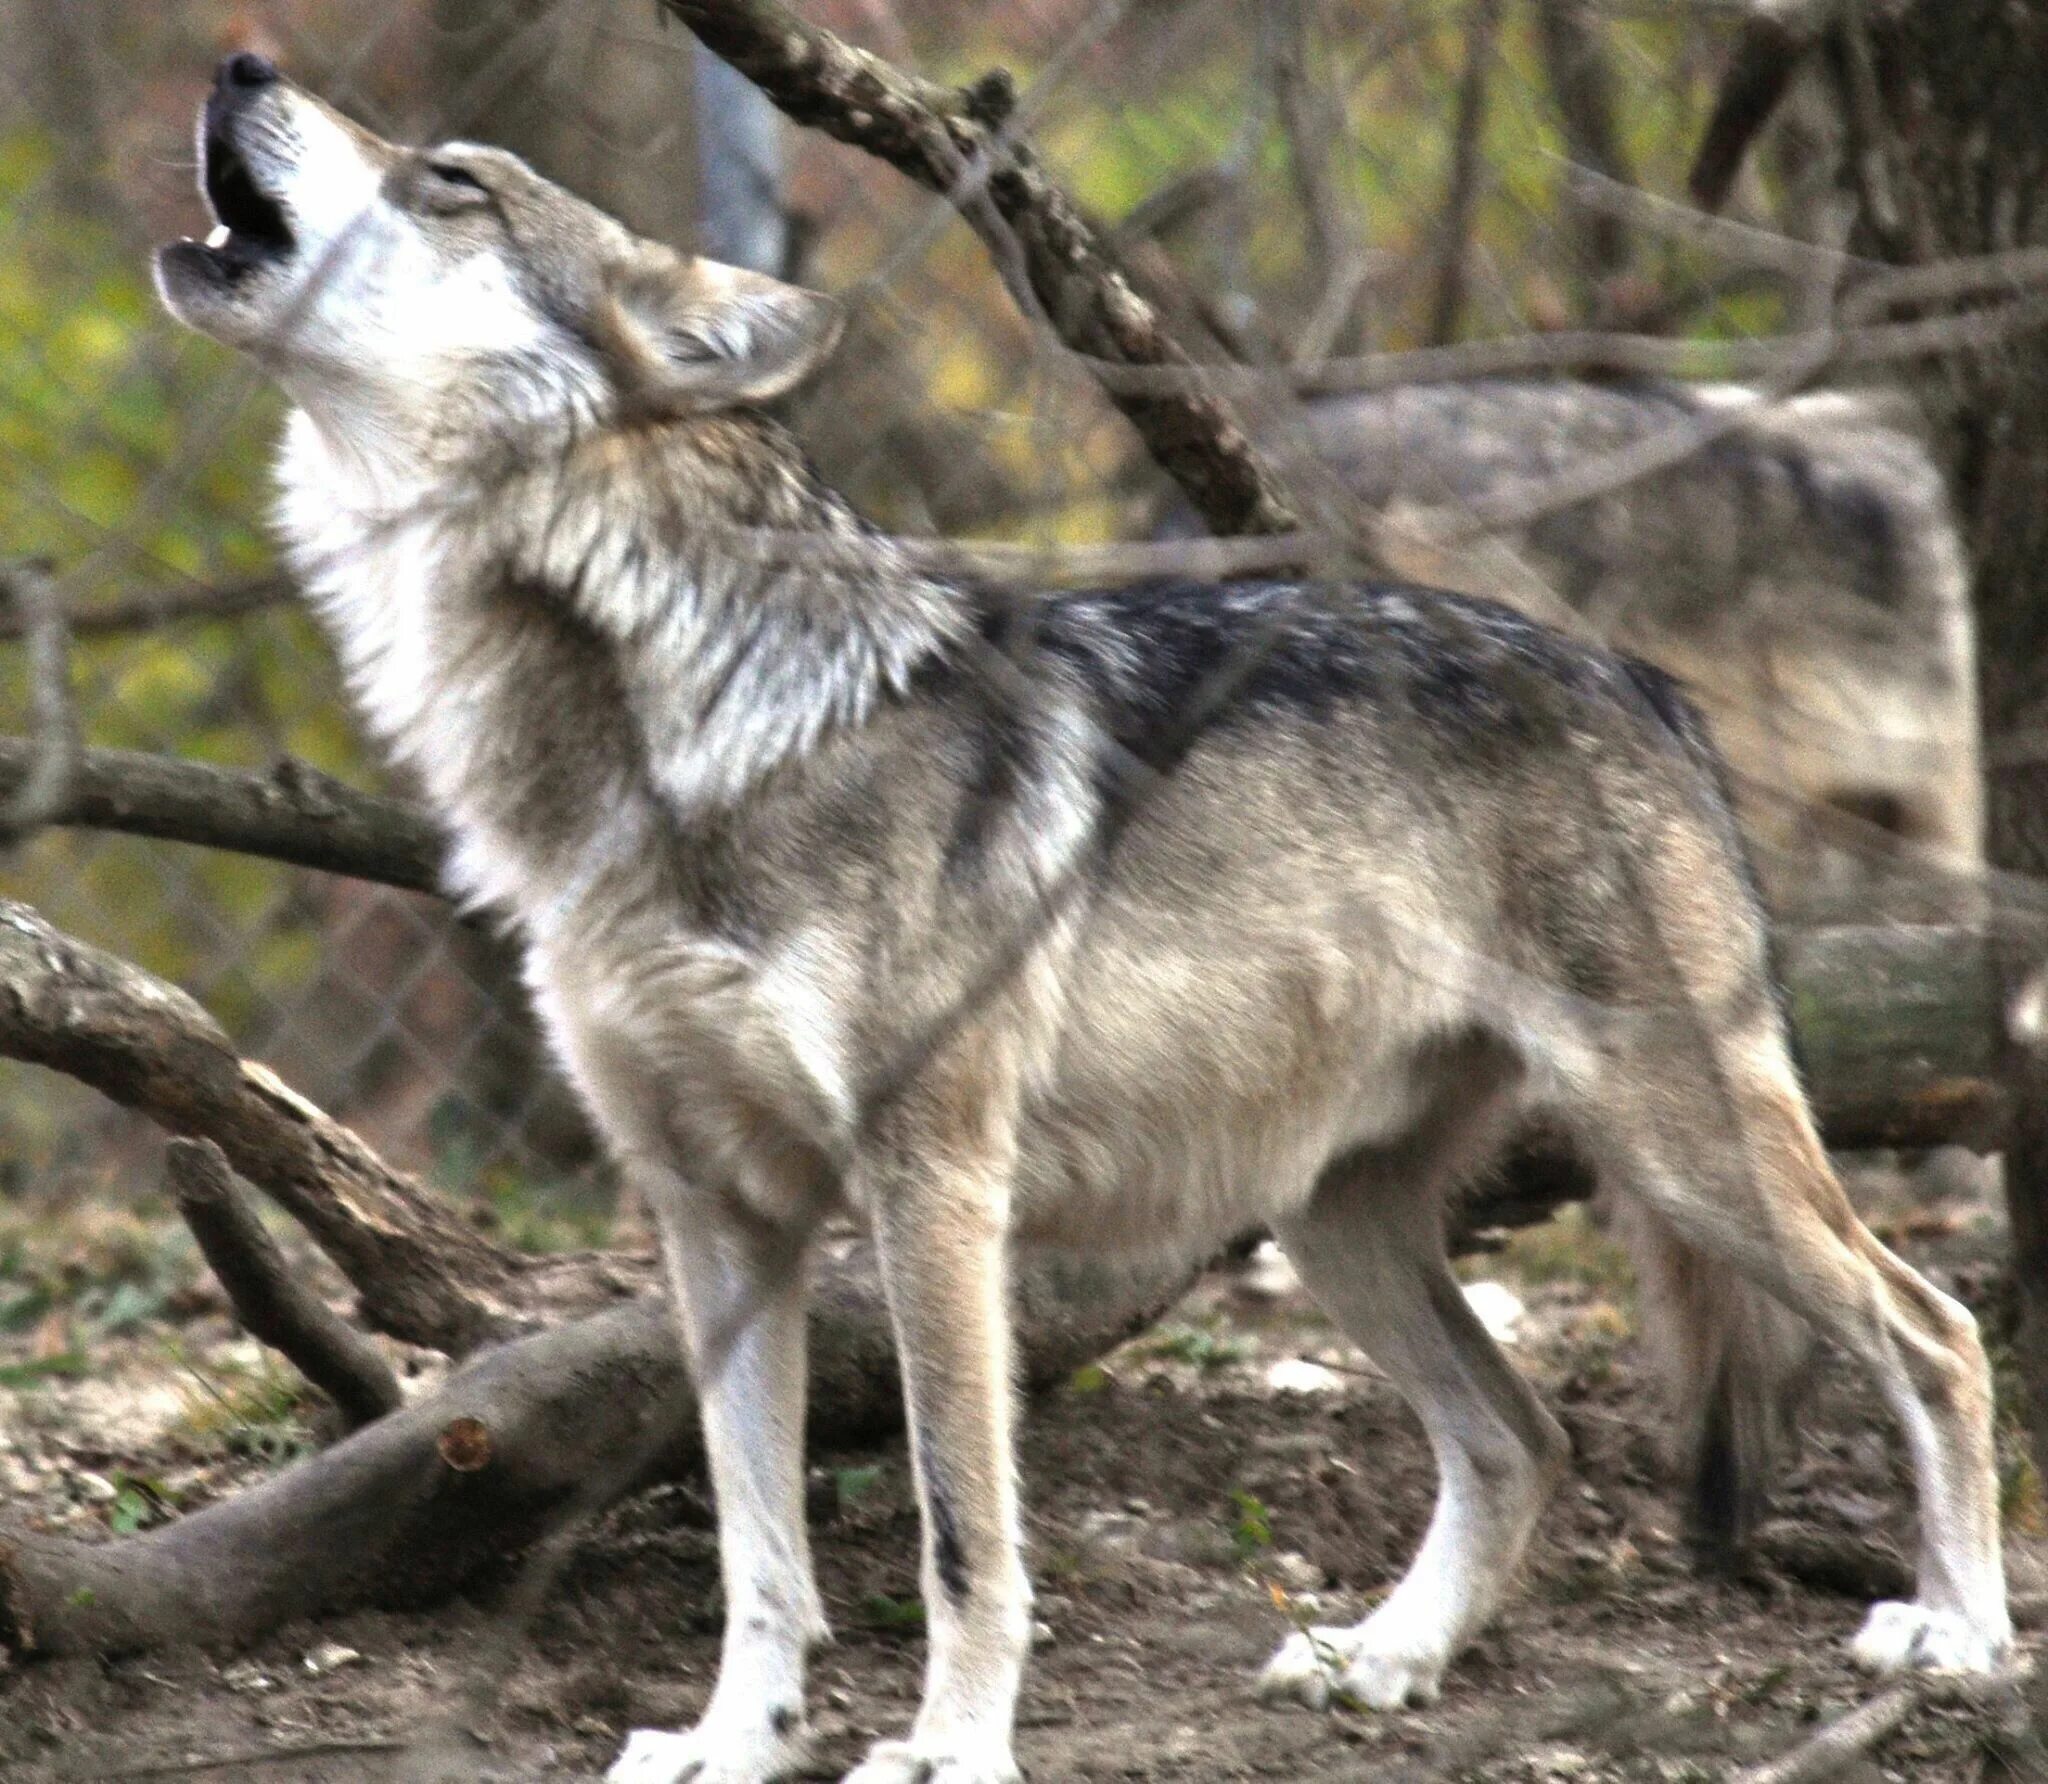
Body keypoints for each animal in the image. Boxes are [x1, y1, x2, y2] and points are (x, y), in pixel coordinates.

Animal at [159, 52, 2015, 1784]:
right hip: (1334, 1215)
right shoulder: (711, 1214)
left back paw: (1960, 1634)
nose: (241, 64)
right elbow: (760, 1547)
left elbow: (959, 1530)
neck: (659, 723)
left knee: (1932, 1331)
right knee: (1524, 1434)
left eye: (453, 181)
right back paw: (1383, 1661)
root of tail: (1641, 683)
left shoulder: (933, 1189)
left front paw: (950, 1748)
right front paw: (736, 1742)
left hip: (1676, 1149)